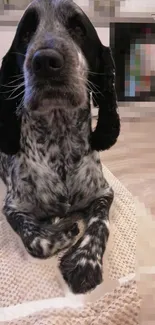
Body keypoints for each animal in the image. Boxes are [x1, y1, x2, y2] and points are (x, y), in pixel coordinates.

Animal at [0, 0, 120, 294]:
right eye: (26, 33)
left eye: (78, 28)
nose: (44, 61)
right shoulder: (13, 207)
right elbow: (37, 240)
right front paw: (63, 229)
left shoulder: (104, 192)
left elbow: (101, 223)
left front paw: (85, 261)